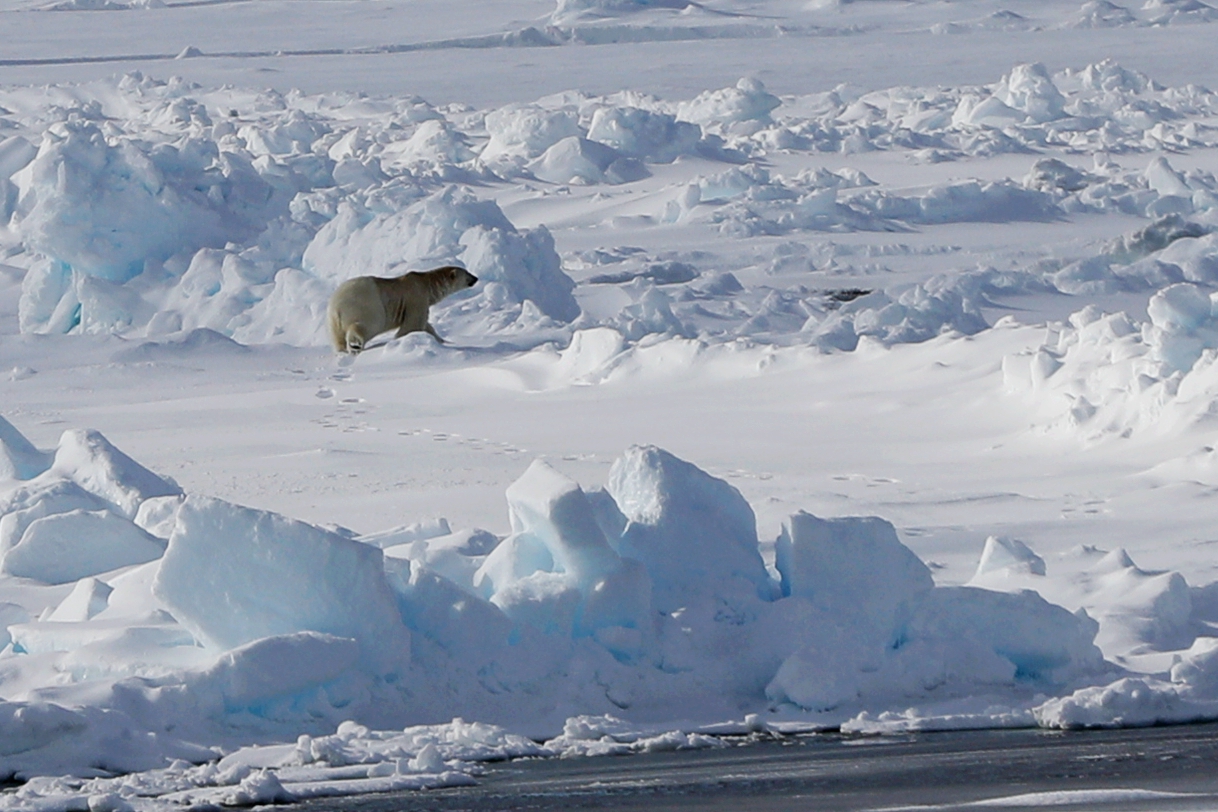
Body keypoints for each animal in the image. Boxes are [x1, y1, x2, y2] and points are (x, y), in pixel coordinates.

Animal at [326, 266, 477, 353]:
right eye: (467, 273)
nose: (476, 278)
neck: (426, 284)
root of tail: (337, 306)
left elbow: (427, 326)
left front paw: (444, 341)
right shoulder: (417, 297)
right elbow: (413, 324)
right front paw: (401, 339)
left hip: (333, 321)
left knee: (337, 336)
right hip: (366, 307)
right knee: (366, 325)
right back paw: (355, 344)